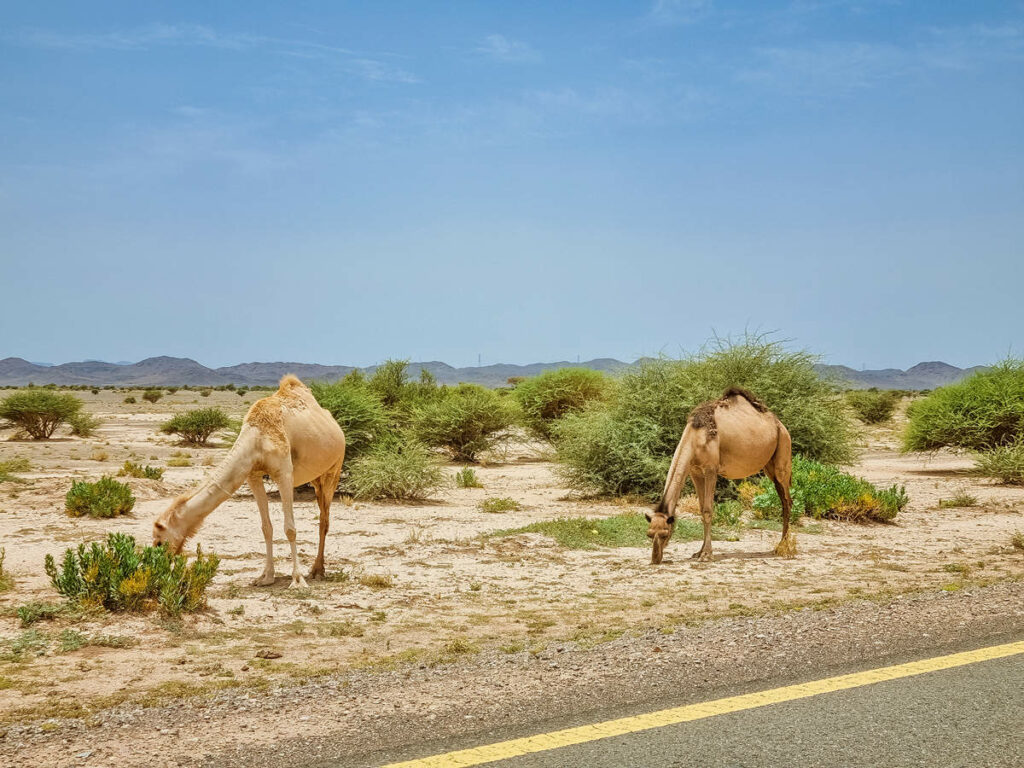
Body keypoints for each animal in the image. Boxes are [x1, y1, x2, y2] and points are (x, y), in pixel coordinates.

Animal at [150, 374, 344, 589]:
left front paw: (297, 579)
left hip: (334, 469)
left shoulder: (284, 474)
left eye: (159, 541)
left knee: (324, 519)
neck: (256, 439)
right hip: (316, 479)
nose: (159, 563)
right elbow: (266, 528)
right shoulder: (253, 475)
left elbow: (290, 529)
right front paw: (266, 577)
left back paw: (317, 570)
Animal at [643, 391, 794, 565]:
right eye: (649, 534)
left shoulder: (711, 469)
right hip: (770, 465)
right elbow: (701, 510)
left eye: (664, 534)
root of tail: (780, 425)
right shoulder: (695, 471)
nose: (655, 558)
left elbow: (708, 510)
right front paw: (699, 552)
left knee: (787, 501)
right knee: (783, 499)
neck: (695, 438)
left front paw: (707, 554)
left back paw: (784, 547)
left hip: (783, 451)